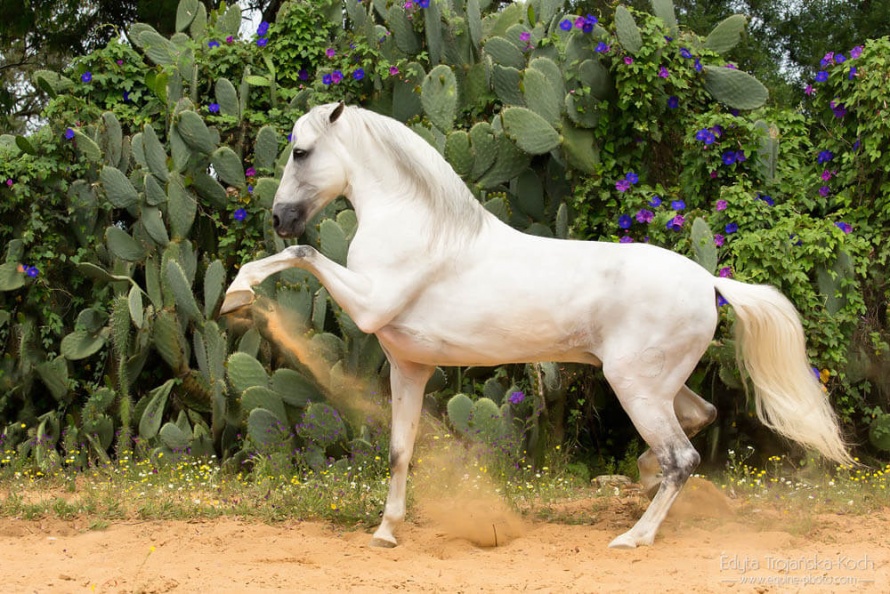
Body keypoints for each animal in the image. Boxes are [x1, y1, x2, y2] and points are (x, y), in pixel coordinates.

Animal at [220, 102, 852, 549]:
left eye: (301, 152)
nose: (279, 216)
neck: (422, 226)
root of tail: (707, 280)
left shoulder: (370, 303)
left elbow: (303, 252)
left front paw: (236, 295)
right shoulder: (409, 365)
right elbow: (401, 450)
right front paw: (386, 532)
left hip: (636, 387)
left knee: (683, 458)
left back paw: (634, 537)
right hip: (658, 384)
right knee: (702, 420)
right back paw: (642, 481)